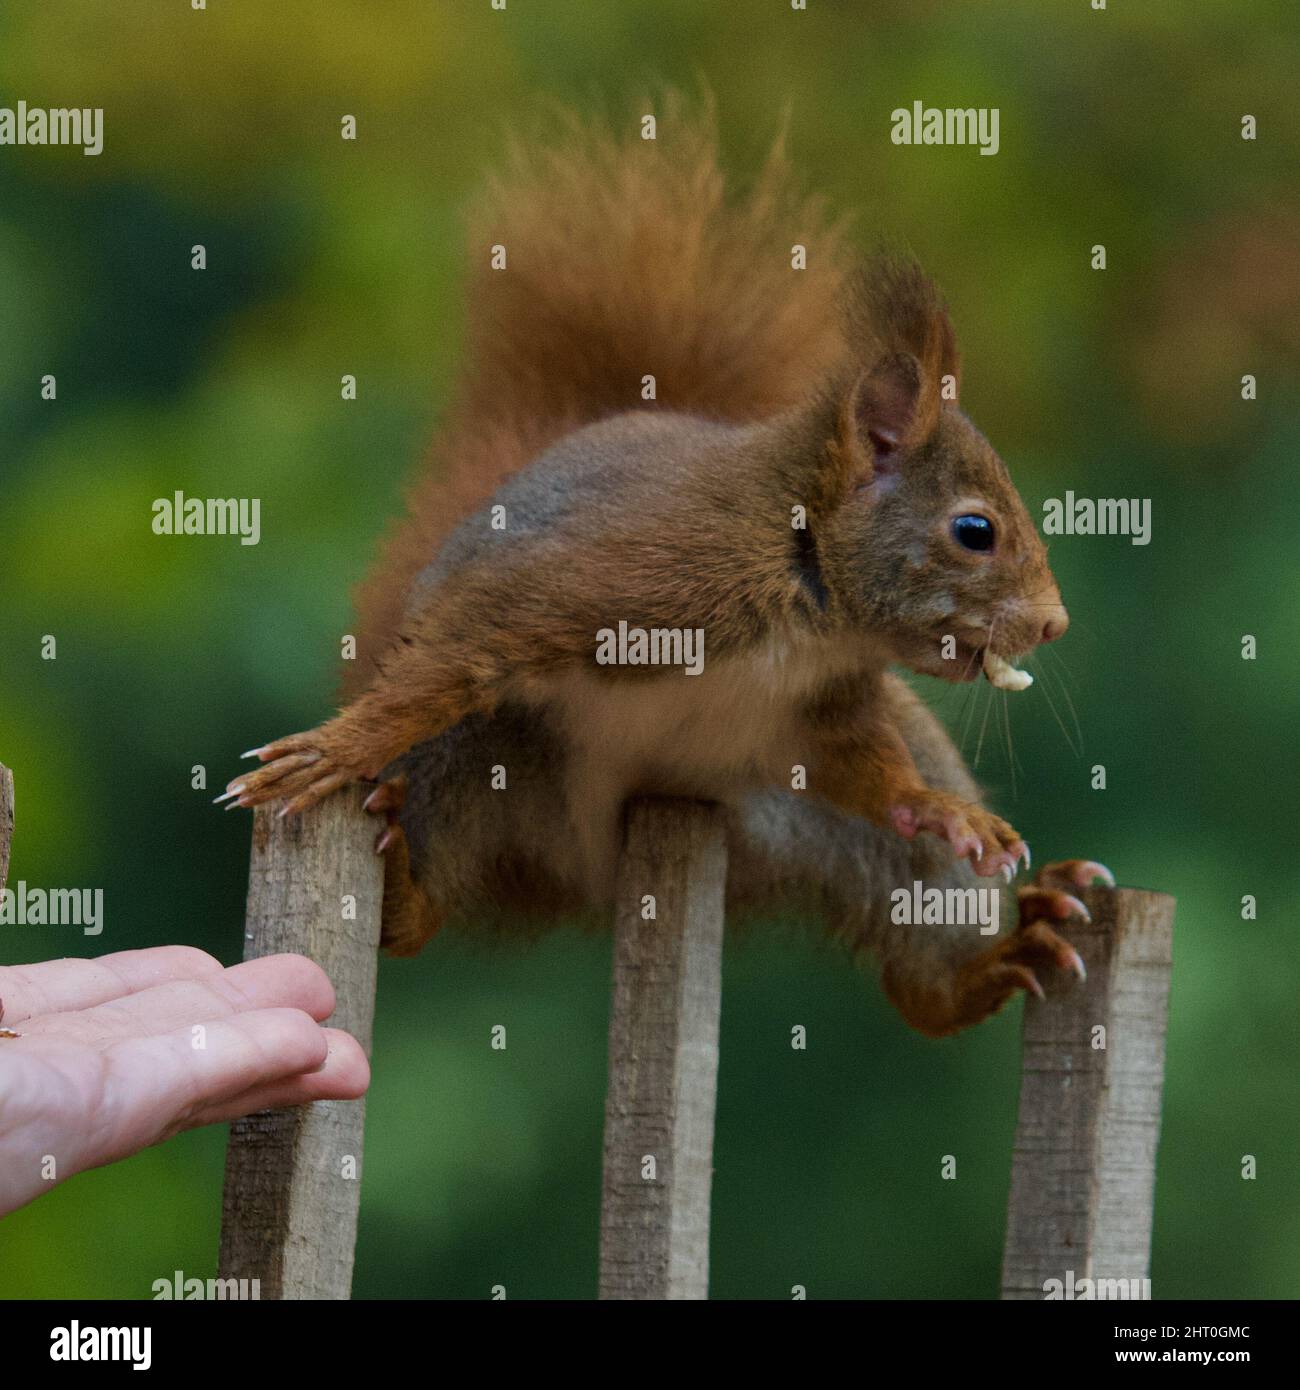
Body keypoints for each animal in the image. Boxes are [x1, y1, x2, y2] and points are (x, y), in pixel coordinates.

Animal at [221, 100, 1106, 1034]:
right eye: (975, 530)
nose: (1053, 623)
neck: (805, 599)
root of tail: (592, 882)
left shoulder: (830, 704)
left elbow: (867, 765)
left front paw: (939, 810)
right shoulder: (636, 578)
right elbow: (482, 628)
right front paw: (335, 748)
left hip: (795, 825)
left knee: (922, 985)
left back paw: (1003, 952)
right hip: (480, 758)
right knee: (420, 905)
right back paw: (398, 887)